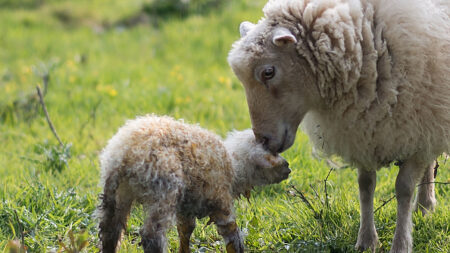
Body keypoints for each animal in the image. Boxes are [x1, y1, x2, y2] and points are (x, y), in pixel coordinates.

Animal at [96, 115, 290, 253]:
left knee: (110, 230)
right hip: (164, 190)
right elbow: (232, 236)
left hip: (117, 193)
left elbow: (185, 231)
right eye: (273, 151)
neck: (235, 166)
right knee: (152, 236)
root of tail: (125, 153)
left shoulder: (186, 208)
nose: (288, 167)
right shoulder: (221, 201)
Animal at [229, 0, 450, 253]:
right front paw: (366, 240)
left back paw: (425, 203)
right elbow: (365, 186)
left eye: (268, 71)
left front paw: (401, 244)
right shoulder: (363, 131)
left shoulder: (417, 127)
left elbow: (403, 188)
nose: (263, 140)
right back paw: (424, 206)